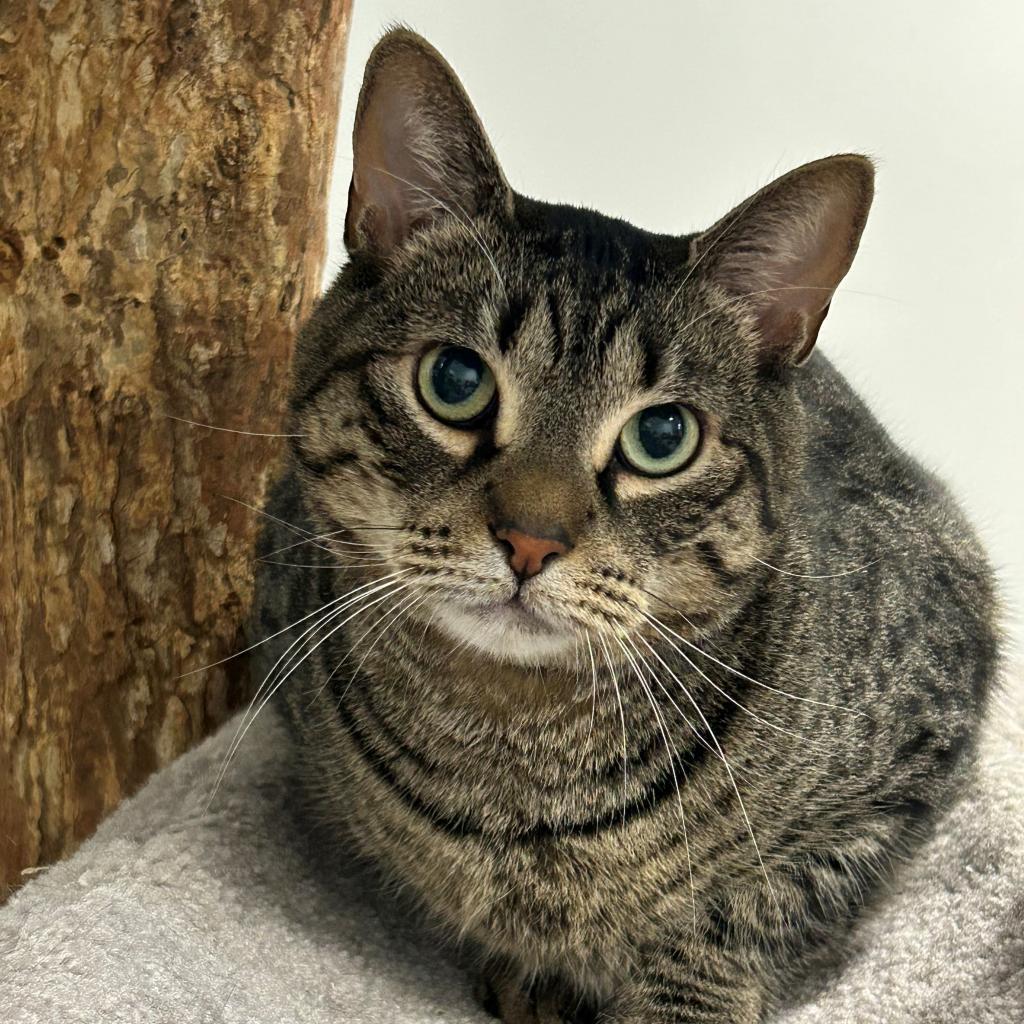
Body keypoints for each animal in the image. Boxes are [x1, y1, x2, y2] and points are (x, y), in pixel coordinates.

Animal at [251, 28, 1003, 1019]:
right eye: (454, 381)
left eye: (662, 436)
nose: (531, 541)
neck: (514, 755)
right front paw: (529, 972)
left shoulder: (914, 748)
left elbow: (740, 916)